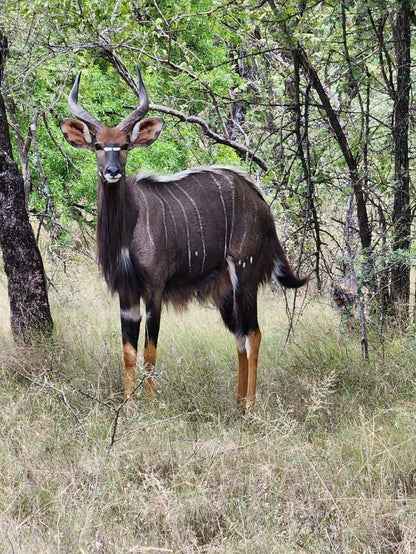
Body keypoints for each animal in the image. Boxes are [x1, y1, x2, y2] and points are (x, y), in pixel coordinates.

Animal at [59, 67, 306, 410]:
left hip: (244, 272)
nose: (112, 172)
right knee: (240, 336)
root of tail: (260, 202)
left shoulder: (155, 289)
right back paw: (237, 406)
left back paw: (251, 408)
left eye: (124, 145)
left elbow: (150, 353)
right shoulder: (126, 294)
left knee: (253, 334)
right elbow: (128, 353)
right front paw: (127, 407)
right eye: (98, 145)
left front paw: (149, 407)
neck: (130, 227)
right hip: (225, 292)